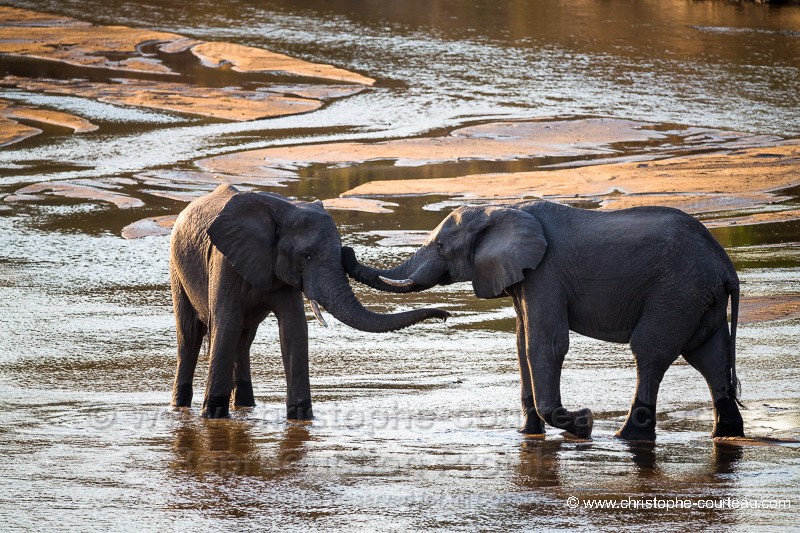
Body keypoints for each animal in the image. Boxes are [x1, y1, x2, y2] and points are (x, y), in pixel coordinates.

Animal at [171, 185, 450, 418]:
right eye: (305, 255)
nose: (446, 316)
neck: (282, 211)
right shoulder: (225, 261)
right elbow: (226, 324)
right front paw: (213, 417)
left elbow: (294, 330)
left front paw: (301, 418)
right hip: (177, 265)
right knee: (191, 336)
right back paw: (181, 405)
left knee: (244, 339)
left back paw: (246, 406)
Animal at [342, 201, 744, 440]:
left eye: (441, 247)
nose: (346, 251)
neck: (500, 210)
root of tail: (726, 268)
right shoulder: (523, 276)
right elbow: (522, 344)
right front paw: (528, 433)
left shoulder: (545, 272)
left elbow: (546, 344)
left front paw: (583, 423)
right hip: (697, 297)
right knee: (710, 358)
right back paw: (726, 434)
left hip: (676, 291)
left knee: (650, 352)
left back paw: (625, 437)